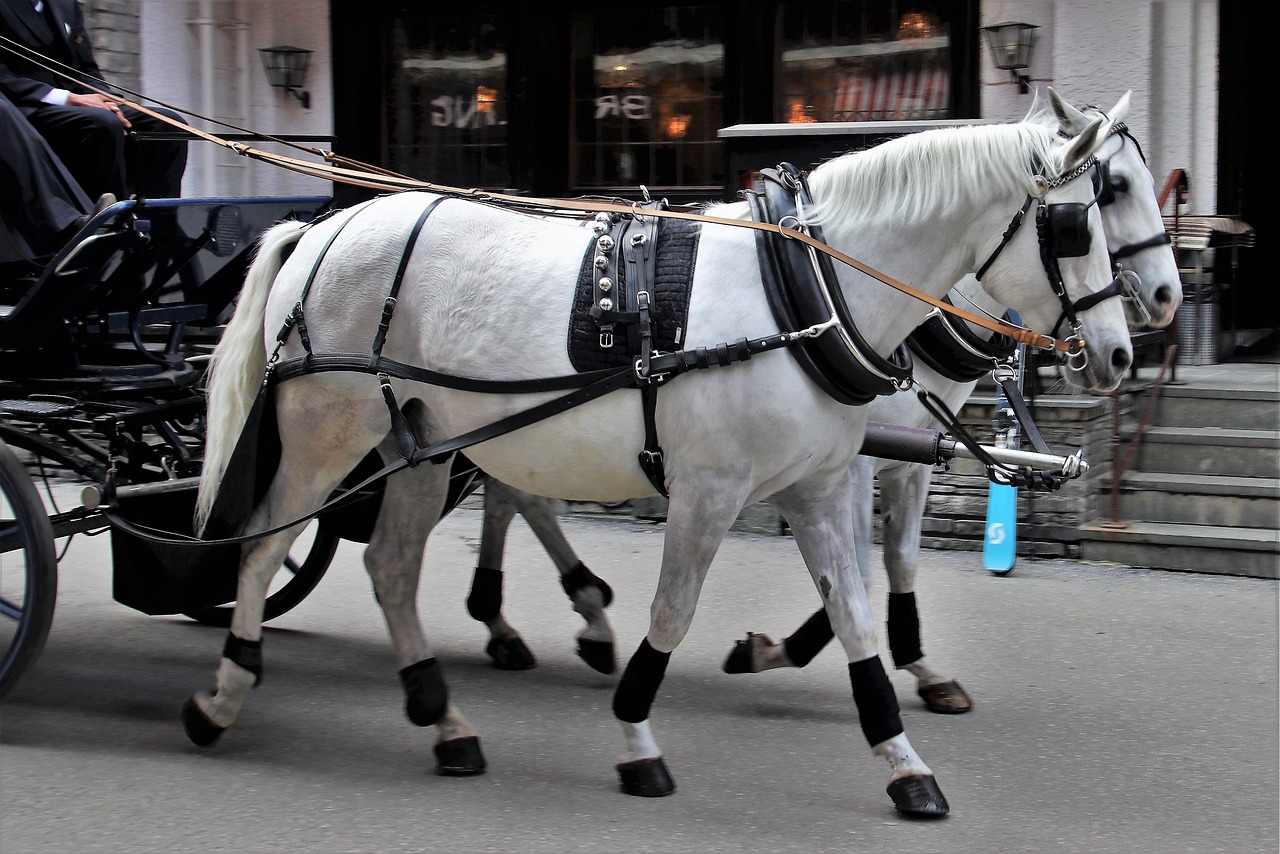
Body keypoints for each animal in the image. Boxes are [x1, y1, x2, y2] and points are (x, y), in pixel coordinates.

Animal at [183, 110, 1131, 819]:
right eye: (1081, 218)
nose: (1123, 350)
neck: (803, 290)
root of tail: (323, 228)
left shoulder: (820, 484)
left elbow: (857, 611)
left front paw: (903, 760)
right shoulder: (709, 490)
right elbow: (673, 614)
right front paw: (638, 738)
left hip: (417, 443)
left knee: (391, 565)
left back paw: (444, 717)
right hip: (325, 437)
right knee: (263, 548)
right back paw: (224, 694)